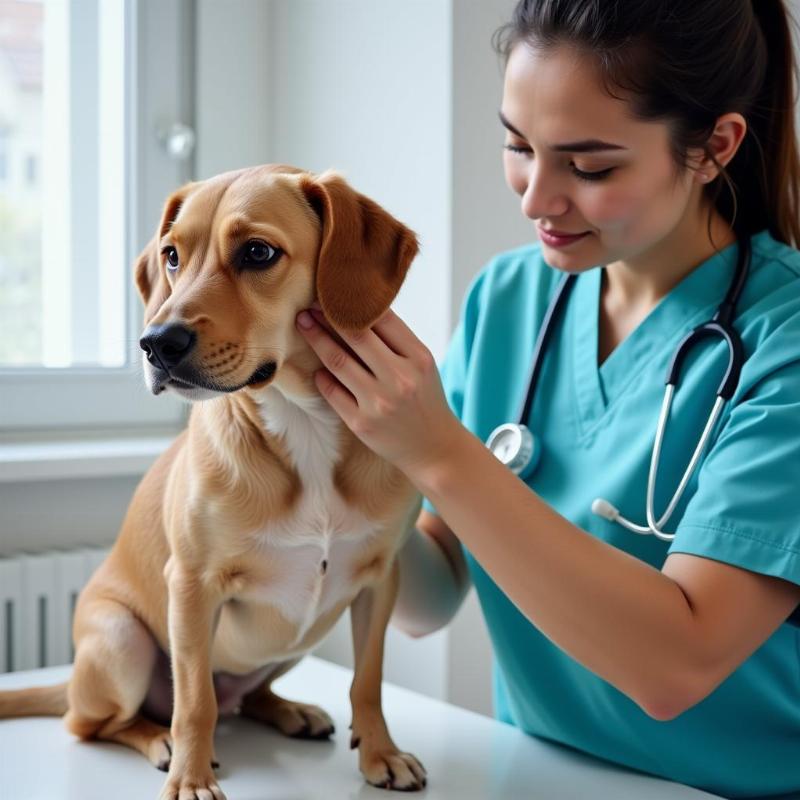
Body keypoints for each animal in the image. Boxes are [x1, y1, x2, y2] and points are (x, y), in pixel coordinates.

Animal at [0, 166, 428, 796]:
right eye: (172, 255)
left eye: (257, 252)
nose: (155, 343)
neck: (302, 427)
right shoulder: (193, 586)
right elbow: (194, 699)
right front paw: (190, 777)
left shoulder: (380, 579)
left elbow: (367, 682)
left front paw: (381, 753)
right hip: (122, 642)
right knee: (98, 722)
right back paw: (159, 740)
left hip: (297, 636)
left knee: (247, 697)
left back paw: (288, 710)